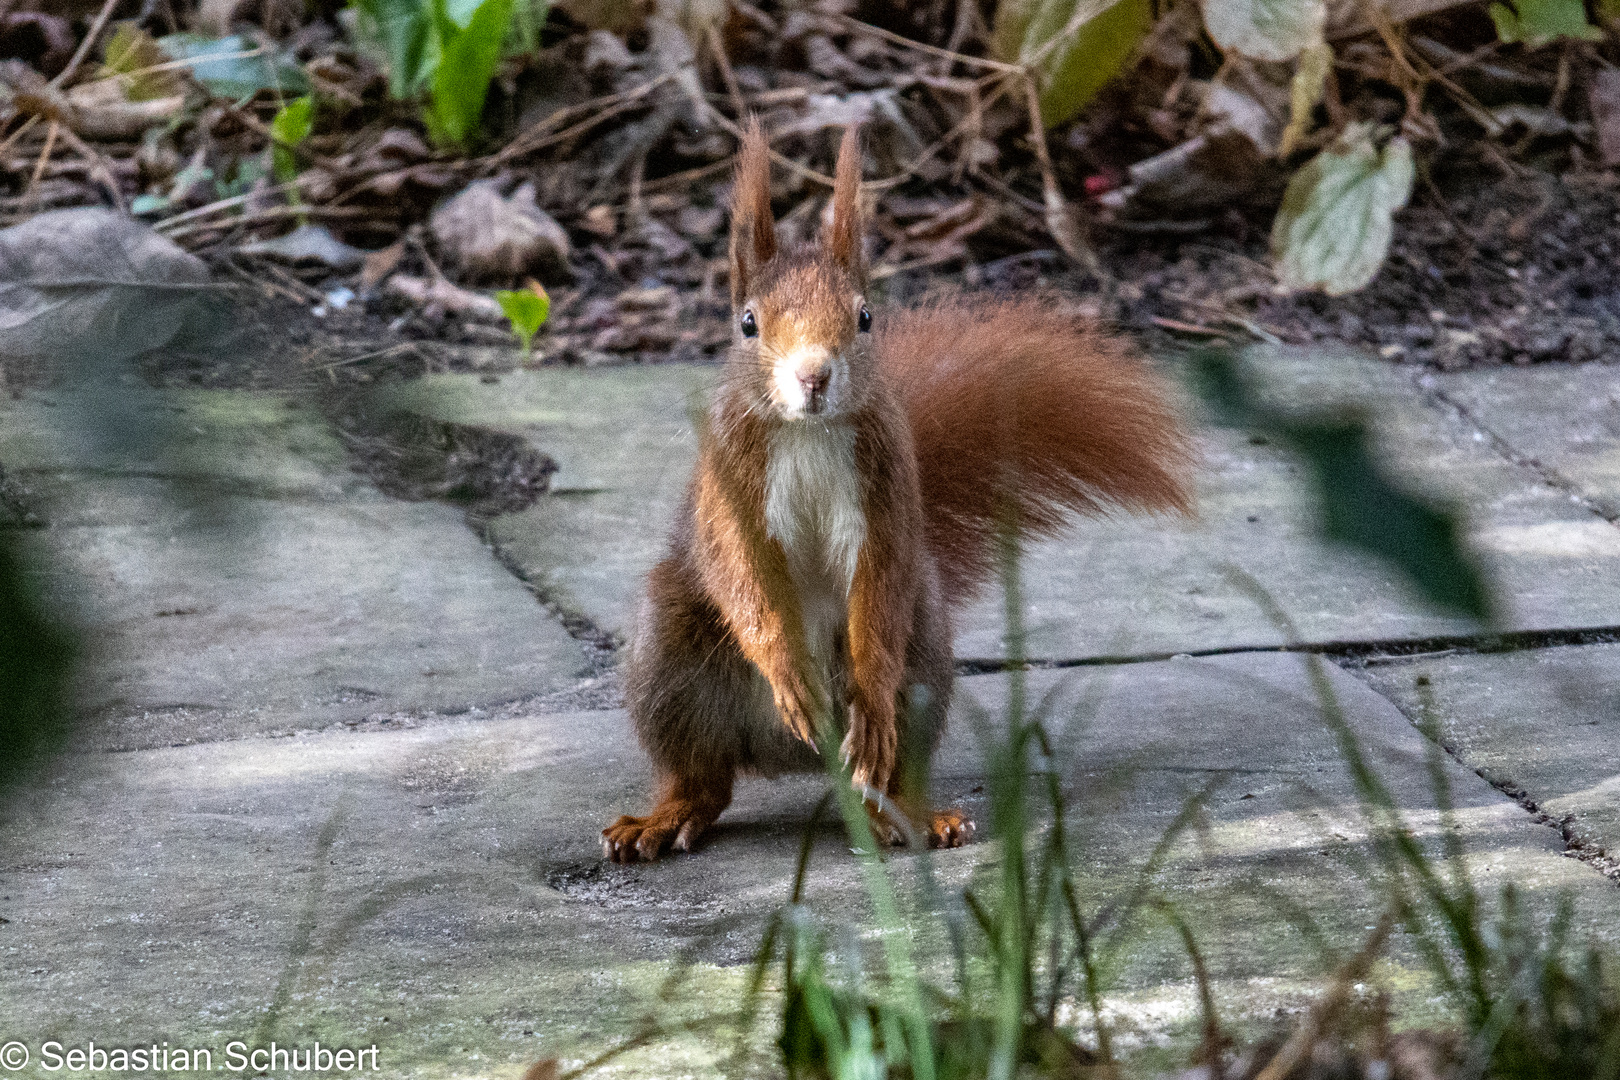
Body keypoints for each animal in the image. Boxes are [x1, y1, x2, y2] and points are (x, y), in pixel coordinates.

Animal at [602, 120, 1198, 861]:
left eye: (864, 318)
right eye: (747, 322)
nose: (814, 375)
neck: (808, 432)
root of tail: (793, 758)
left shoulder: (887, 481)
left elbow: (880, 575)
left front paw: (874, 692)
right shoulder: (729, 484)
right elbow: (738, 572)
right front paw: (786, 668)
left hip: (926, 651)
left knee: (885, 765)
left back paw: (908, 812)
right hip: (670, 658)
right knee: (704, 777)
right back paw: (666, 816)